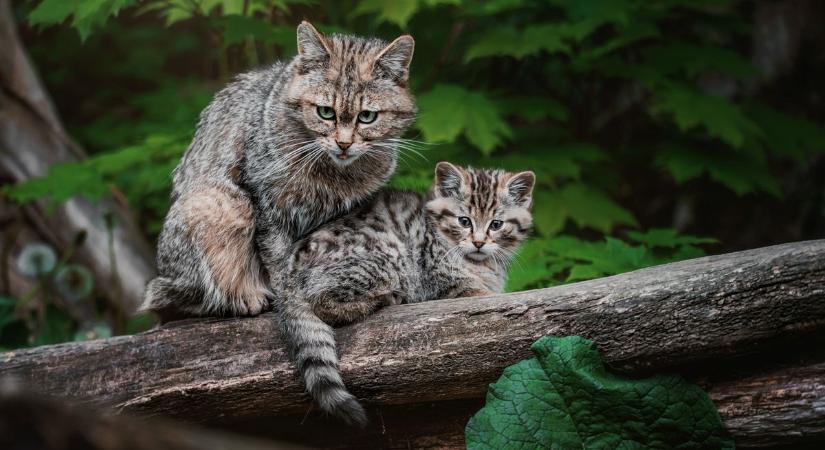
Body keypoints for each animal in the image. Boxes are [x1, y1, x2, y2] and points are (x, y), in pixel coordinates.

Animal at [140, 22, 418, 322]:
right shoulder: (268, 205)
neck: (336, 176)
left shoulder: (347, 214)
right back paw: (246, 296)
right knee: (177, 299)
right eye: (325, 112)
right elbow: (279, 259)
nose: (344, 143)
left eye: (367, 117)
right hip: (217, 204)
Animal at [276, 162, 536, 426]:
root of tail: (287, 275)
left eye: (496, 224)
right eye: (464, 221)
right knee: (322, 300)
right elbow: (477, 293)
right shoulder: (444, 279)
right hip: (387, 258)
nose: (479, 243)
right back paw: (385, 298)